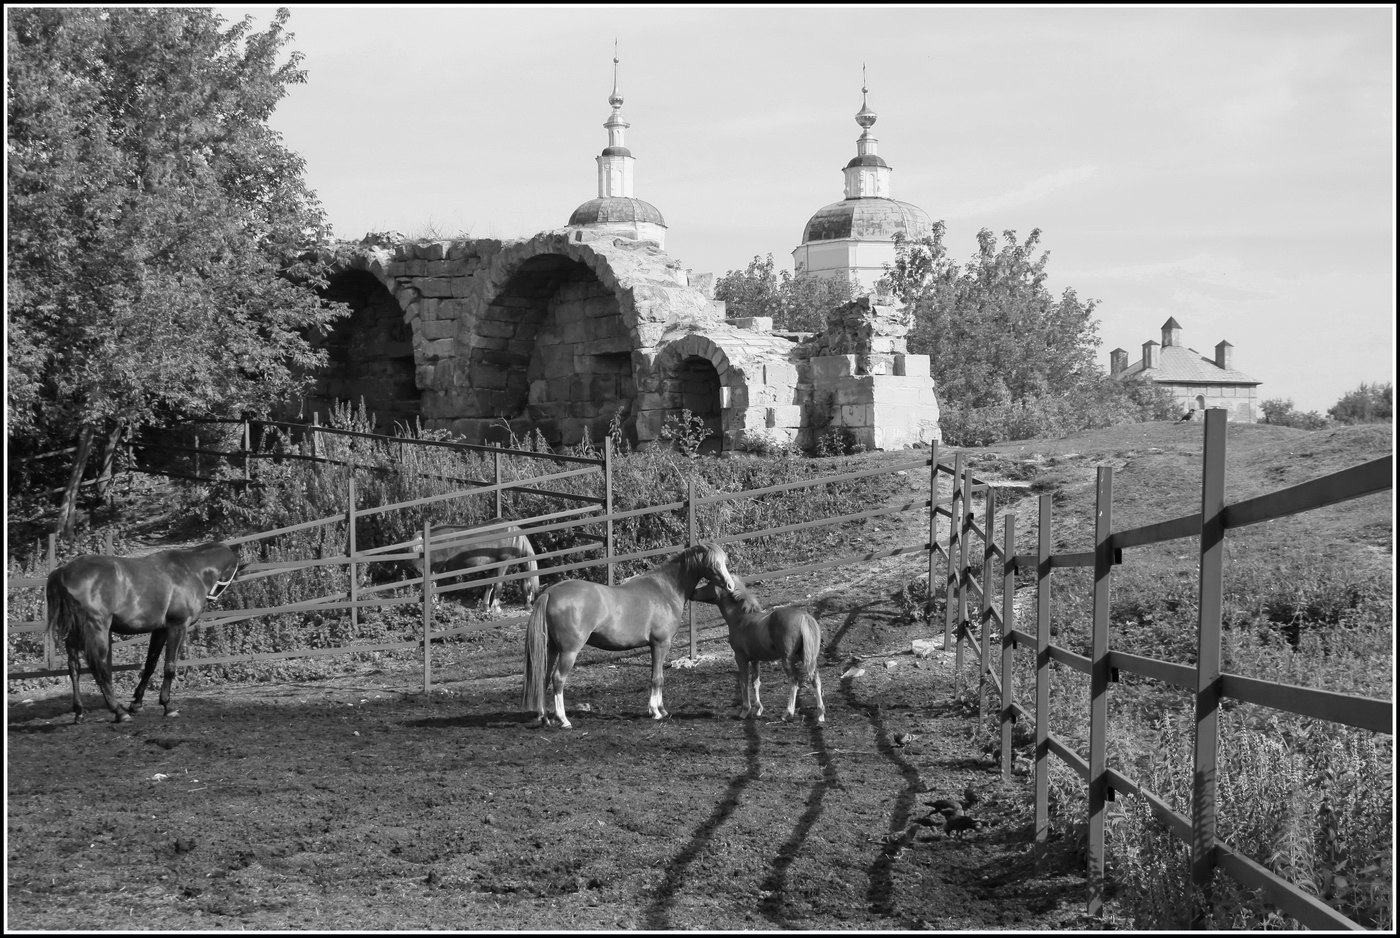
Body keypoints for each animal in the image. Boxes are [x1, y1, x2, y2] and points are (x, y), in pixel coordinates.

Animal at [45, 543, 238, 728]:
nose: (210, 599)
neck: (190, 569)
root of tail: (62, 572)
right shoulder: (177, 627)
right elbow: (169, 667)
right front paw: (167, 706)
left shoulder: (160, 630)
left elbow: (150, 664)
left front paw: (137, 703)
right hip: (96, 631)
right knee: (99, 669)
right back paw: (119, 712)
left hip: (75, 634)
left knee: (74, 668)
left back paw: (79, 712)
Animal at [523, 540, 739, 733]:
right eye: (712, 563)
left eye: (724, 561)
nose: (730, 585)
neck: (665, 589)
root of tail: (550, 593)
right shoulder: (661, 644)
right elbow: (657, 678)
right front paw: (655, 712)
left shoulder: (656, 646)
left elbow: (659, 677)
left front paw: (661, 709)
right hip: (569, 651)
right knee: (558, 679)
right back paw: (563, 720)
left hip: (552, 649)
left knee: (543, 678)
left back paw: (544, 718)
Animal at [694, 574, 823, 728]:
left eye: (709, 584)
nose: (693, 593)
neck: (740, 618)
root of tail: (804, 616)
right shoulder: (755, 659)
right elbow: (755, 682)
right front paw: (758, 709)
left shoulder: (741, 657)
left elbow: (743, 681)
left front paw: (745, 711)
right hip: (806, 657)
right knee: (815, 679)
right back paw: (820, 715)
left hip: (787, 659)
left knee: (794, 680)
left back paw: (788, 713)